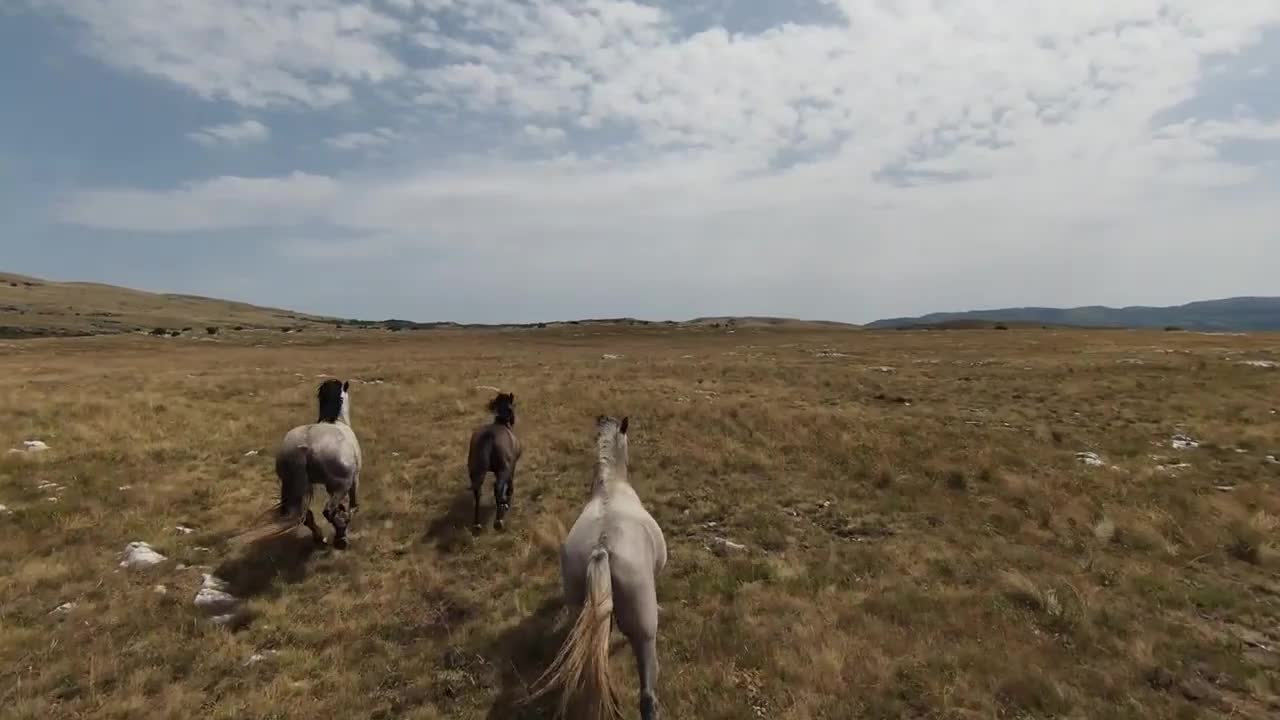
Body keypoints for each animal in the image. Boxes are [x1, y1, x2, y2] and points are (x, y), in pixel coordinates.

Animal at [234, 379, 363, 545]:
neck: (336, 422)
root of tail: (305, 446)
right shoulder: (353, 479)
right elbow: (353, 502)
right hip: (340, 485)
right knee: (328, 511)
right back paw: (340, 537)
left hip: (294, 487)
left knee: (306, 515)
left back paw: (320, 537)